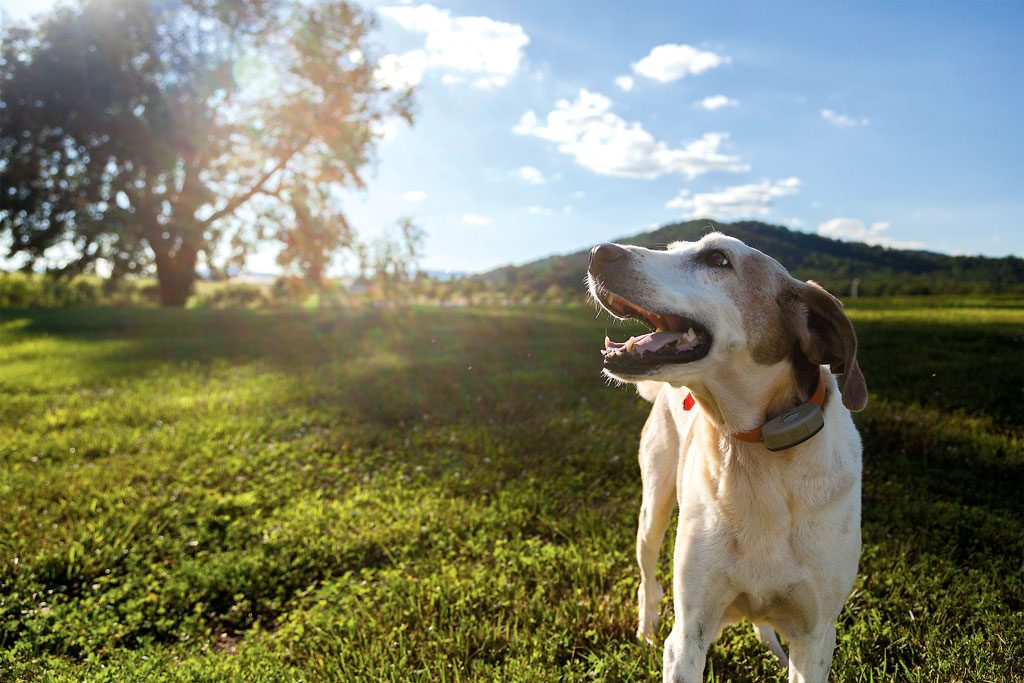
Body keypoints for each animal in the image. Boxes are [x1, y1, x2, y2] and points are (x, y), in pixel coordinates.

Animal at [589, 233, 868, 683]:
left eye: (717, 258)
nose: (598, 252)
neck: (752, 455)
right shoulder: (688, 635)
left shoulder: (817, 635)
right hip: (653, 510)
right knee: (648, 579)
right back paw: (645, 630)